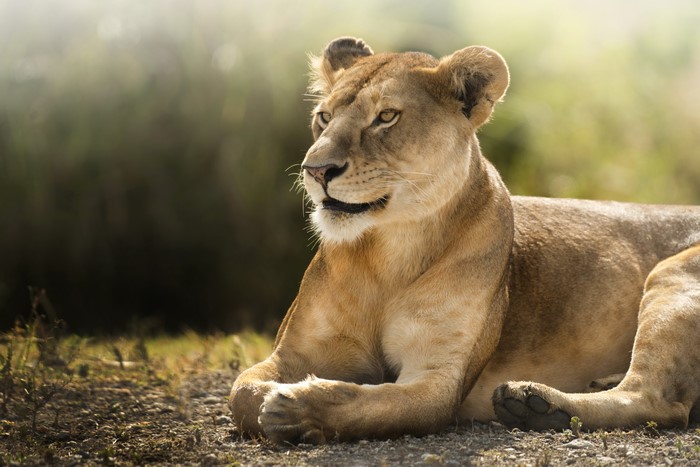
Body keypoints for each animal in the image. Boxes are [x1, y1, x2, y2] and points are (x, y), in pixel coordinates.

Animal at [228, 37, 700, 443]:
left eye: (386, 117)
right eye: (324, 117)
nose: (315, 170)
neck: (387, 253)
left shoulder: (439, 381)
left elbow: (368, 403)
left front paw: (296, 409)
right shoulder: (292, 355)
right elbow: (240, 393)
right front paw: (276, 402)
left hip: (672, 273)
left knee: (656, 401)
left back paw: (535, 404)